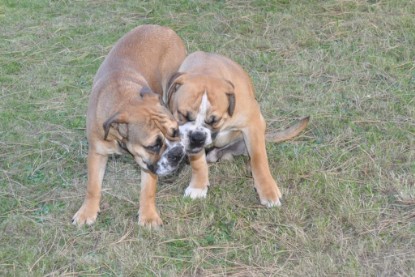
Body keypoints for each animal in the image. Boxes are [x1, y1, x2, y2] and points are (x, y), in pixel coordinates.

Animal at [72, 24, 187, 226]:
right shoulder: (97, 153)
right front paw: (87, 212)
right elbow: (92, 186)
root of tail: (163, 28)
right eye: (153, 145)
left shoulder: (148, 164)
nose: (177, 153)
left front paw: (148, 216)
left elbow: (148, 189)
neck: (124, 100)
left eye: (175, 131)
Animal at [167, 50, 308, 205]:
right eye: (182, 115)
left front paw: (267, 191)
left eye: (214, 120)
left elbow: (259, 159)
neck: (206, 68)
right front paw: (198, 186)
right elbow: (198, 163)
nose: (197, 137)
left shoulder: (253, 124)